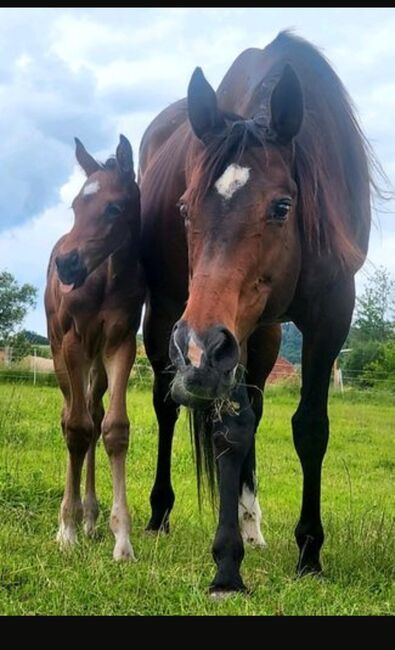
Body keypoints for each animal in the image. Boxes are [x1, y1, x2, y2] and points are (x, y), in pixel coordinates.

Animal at [141, 31, 376, 592]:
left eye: (282, 206)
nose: (197, 348)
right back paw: (159, 514)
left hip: (258, 337)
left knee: (256, 409)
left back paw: (252, 524)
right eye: (183, 208)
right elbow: (230, 428)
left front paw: (309, 552)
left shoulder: (331, 314)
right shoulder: (230, 334)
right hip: (166, 319)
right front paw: (227, 565)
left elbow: (310, 427)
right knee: (165, 405)